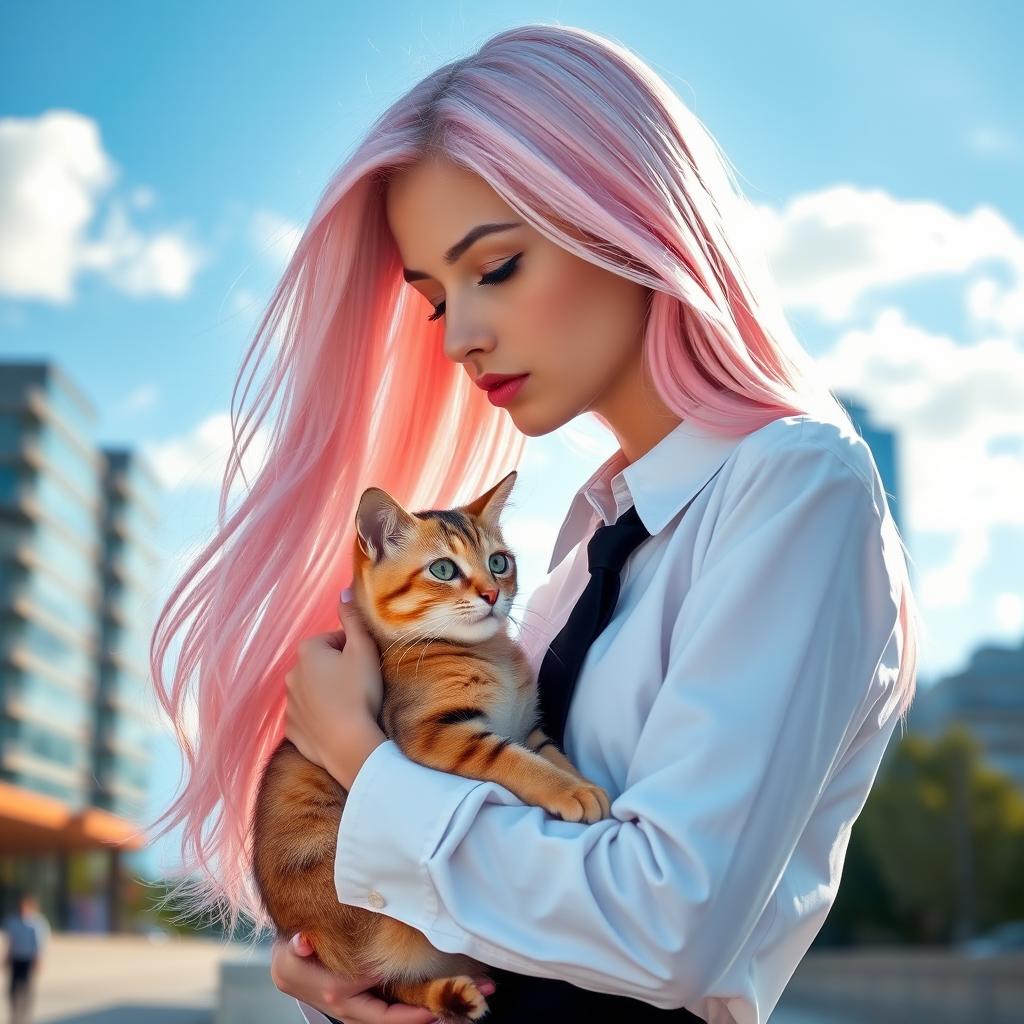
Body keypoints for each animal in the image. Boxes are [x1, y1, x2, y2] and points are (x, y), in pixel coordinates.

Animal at [252, 473, 610, 1024]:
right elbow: (517, 763)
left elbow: (551, 755)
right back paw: (449, 994)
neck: (489, 655)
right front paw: (573, 793)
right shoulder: (438, 733)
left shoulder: (527, 727)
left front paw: (584, 783)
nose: (491, 593)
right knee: (388, 981)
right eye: (443, 569)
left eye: (499, 562)